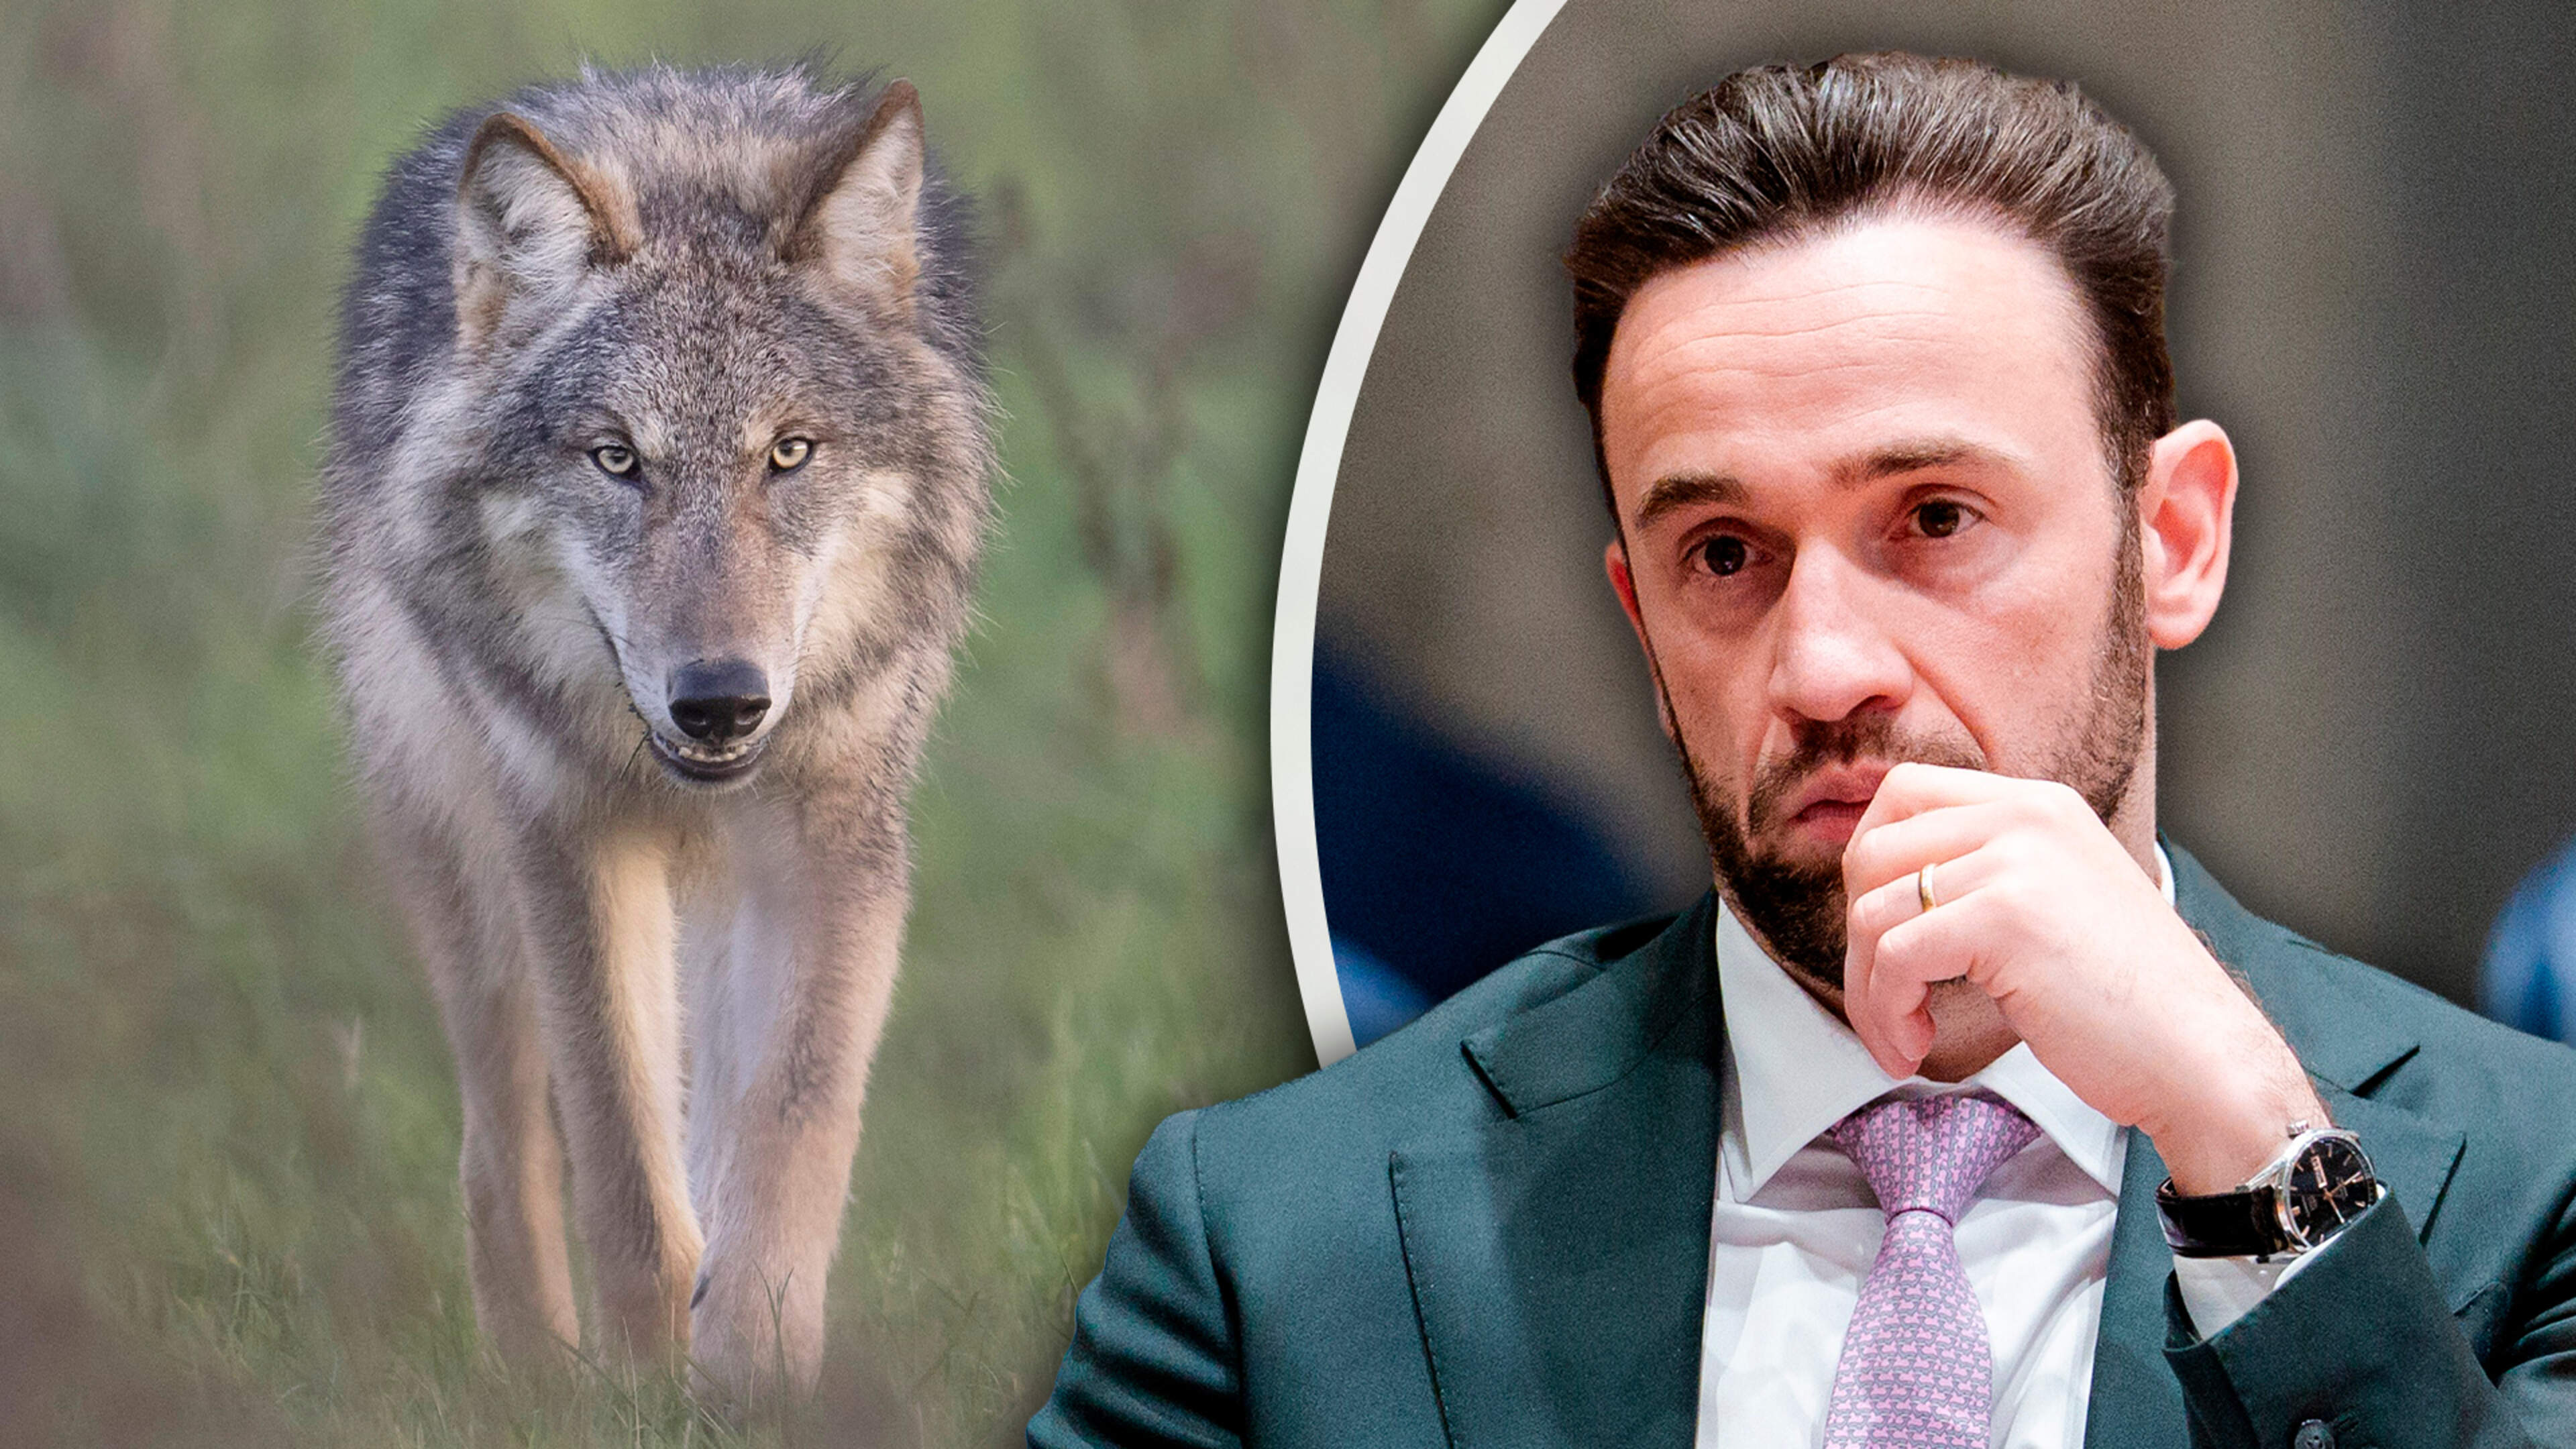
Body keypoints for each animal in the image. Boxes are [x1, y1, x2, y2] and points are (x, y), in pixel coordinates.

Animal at [316, 63, 991, 1397]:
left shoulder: (835, 842)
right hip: (473, 875)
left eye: (790, 453)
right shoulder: (572, 839)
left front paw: (753, 1370)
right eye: (618, 459)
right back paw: (530, 1378)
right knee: (503, 1142)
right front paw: (638, 1380)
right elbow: (623, 1167)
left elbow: (792, 1121)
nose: (721, 697)